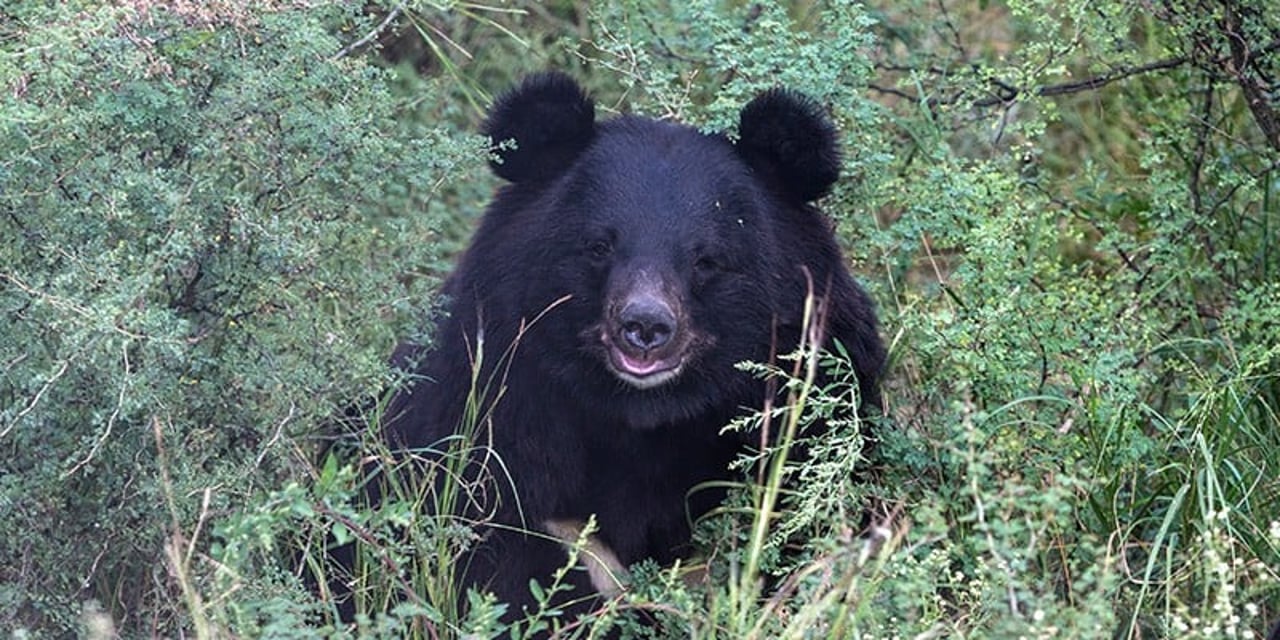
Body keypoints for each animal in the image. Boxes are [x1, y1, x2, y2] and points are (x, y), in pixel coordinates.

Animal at [353, 73, 890, 629]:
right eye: (599, 246)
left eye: (707, 260)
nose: (645, 325)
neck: (640, 415)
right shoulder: (495, 415)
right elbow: (495, 556)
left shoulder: (808, 401)